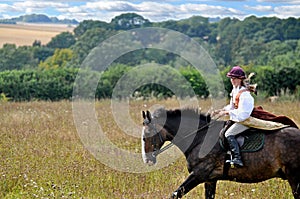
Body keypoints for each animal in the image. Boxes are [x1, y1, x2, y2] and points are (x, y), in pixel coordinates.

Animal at [141, 108, 300, 198]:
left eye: (147, 134)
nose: (147, 160)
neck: (200, 137)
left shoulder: (199, 174)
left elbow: (175, 194)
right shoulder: (210, 180)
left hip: (294, 177)